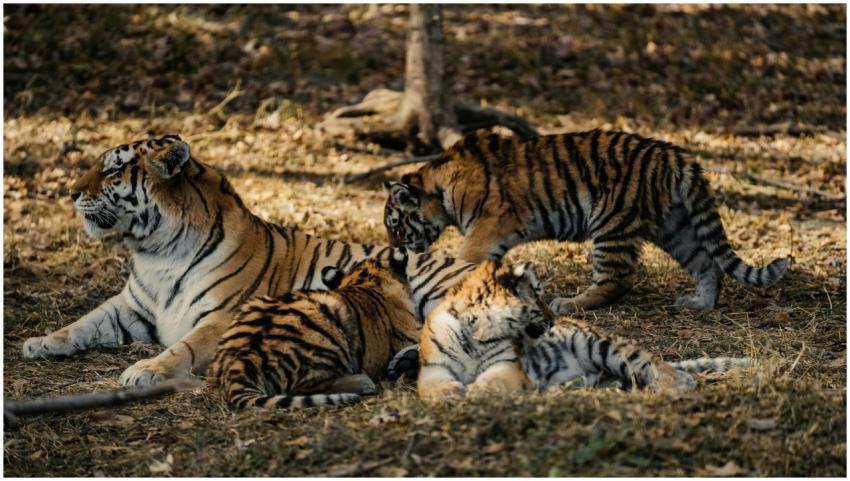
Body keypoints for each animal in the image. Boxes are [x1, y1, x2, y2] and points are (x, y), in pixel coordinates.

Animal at [22, 134, 474, 387]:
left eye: (113, 171)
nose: (71, 193)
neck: (155, 253)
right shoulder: (130, 306)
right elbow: (82, 323)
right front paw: (40, 342)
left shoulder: (224, 315)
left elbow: (185, 348)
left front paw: (145, 368)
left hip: (433, 287)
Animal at [207, 253, 419, 409]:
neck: (366, 280)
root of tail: (240, 361)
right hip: (329, 338)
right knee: (307, 389)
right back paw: (362, 382)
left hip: (254, 303)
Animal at [383, 130, 790, 313]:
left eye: (395, 225)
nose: (393, 250)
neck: (438, 187)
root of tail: (674, 154)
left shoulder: (486, 230)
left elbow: (463, 262)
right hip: (673, 227)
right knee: (707, 262)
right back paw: (698, 304)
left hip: (612, 222)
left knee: (618, 278)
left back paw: (571, 303)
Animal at [417, 259, 751, 402]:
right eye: (538, 295)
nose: (553, 320)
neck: (478, 331)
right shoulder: (433, 368)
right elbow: (432, 387)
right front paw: (450, 393)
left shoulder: (507, 366)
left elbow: (492, 382)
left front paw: (474, 391)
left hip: (605, 346)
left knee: (655, 366)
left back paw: (675, 385)